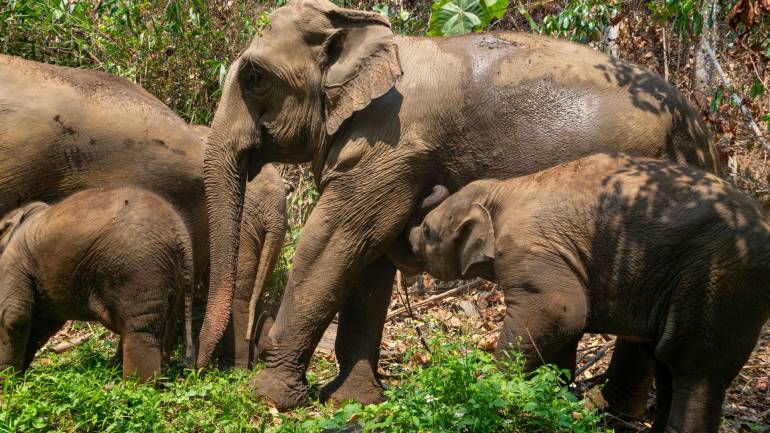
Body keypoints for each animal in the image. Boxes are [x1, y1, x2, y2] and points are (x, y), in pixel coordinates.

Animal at [0, 187, 192, 380]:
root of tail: (181, 235)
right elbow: (44, 323)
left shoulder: (15, 260)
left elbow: (14, 317)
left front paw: (7, 379)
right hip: (170, 275)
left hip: (141, 268)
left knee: (140, 328)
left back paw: (131, 384)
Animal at [196, 0, 712, 408]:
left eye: (255, 78)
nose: (197, 371)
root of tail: (695, 127)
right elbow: (368, 258)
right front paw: (353, 399)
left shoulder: (392, 143)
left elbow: (335, 239)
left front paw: (269, 396)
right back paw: (603, 410)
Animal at [408, 153, 768, 432]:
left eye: (427, 230)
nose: (409, 238)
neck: (501, 190)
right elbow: (565, 329)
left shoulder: (526, 246)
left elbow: (560, 309)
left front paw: (489, 393)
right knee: (667, 364)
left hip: (721, 281)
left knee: (693, 367)